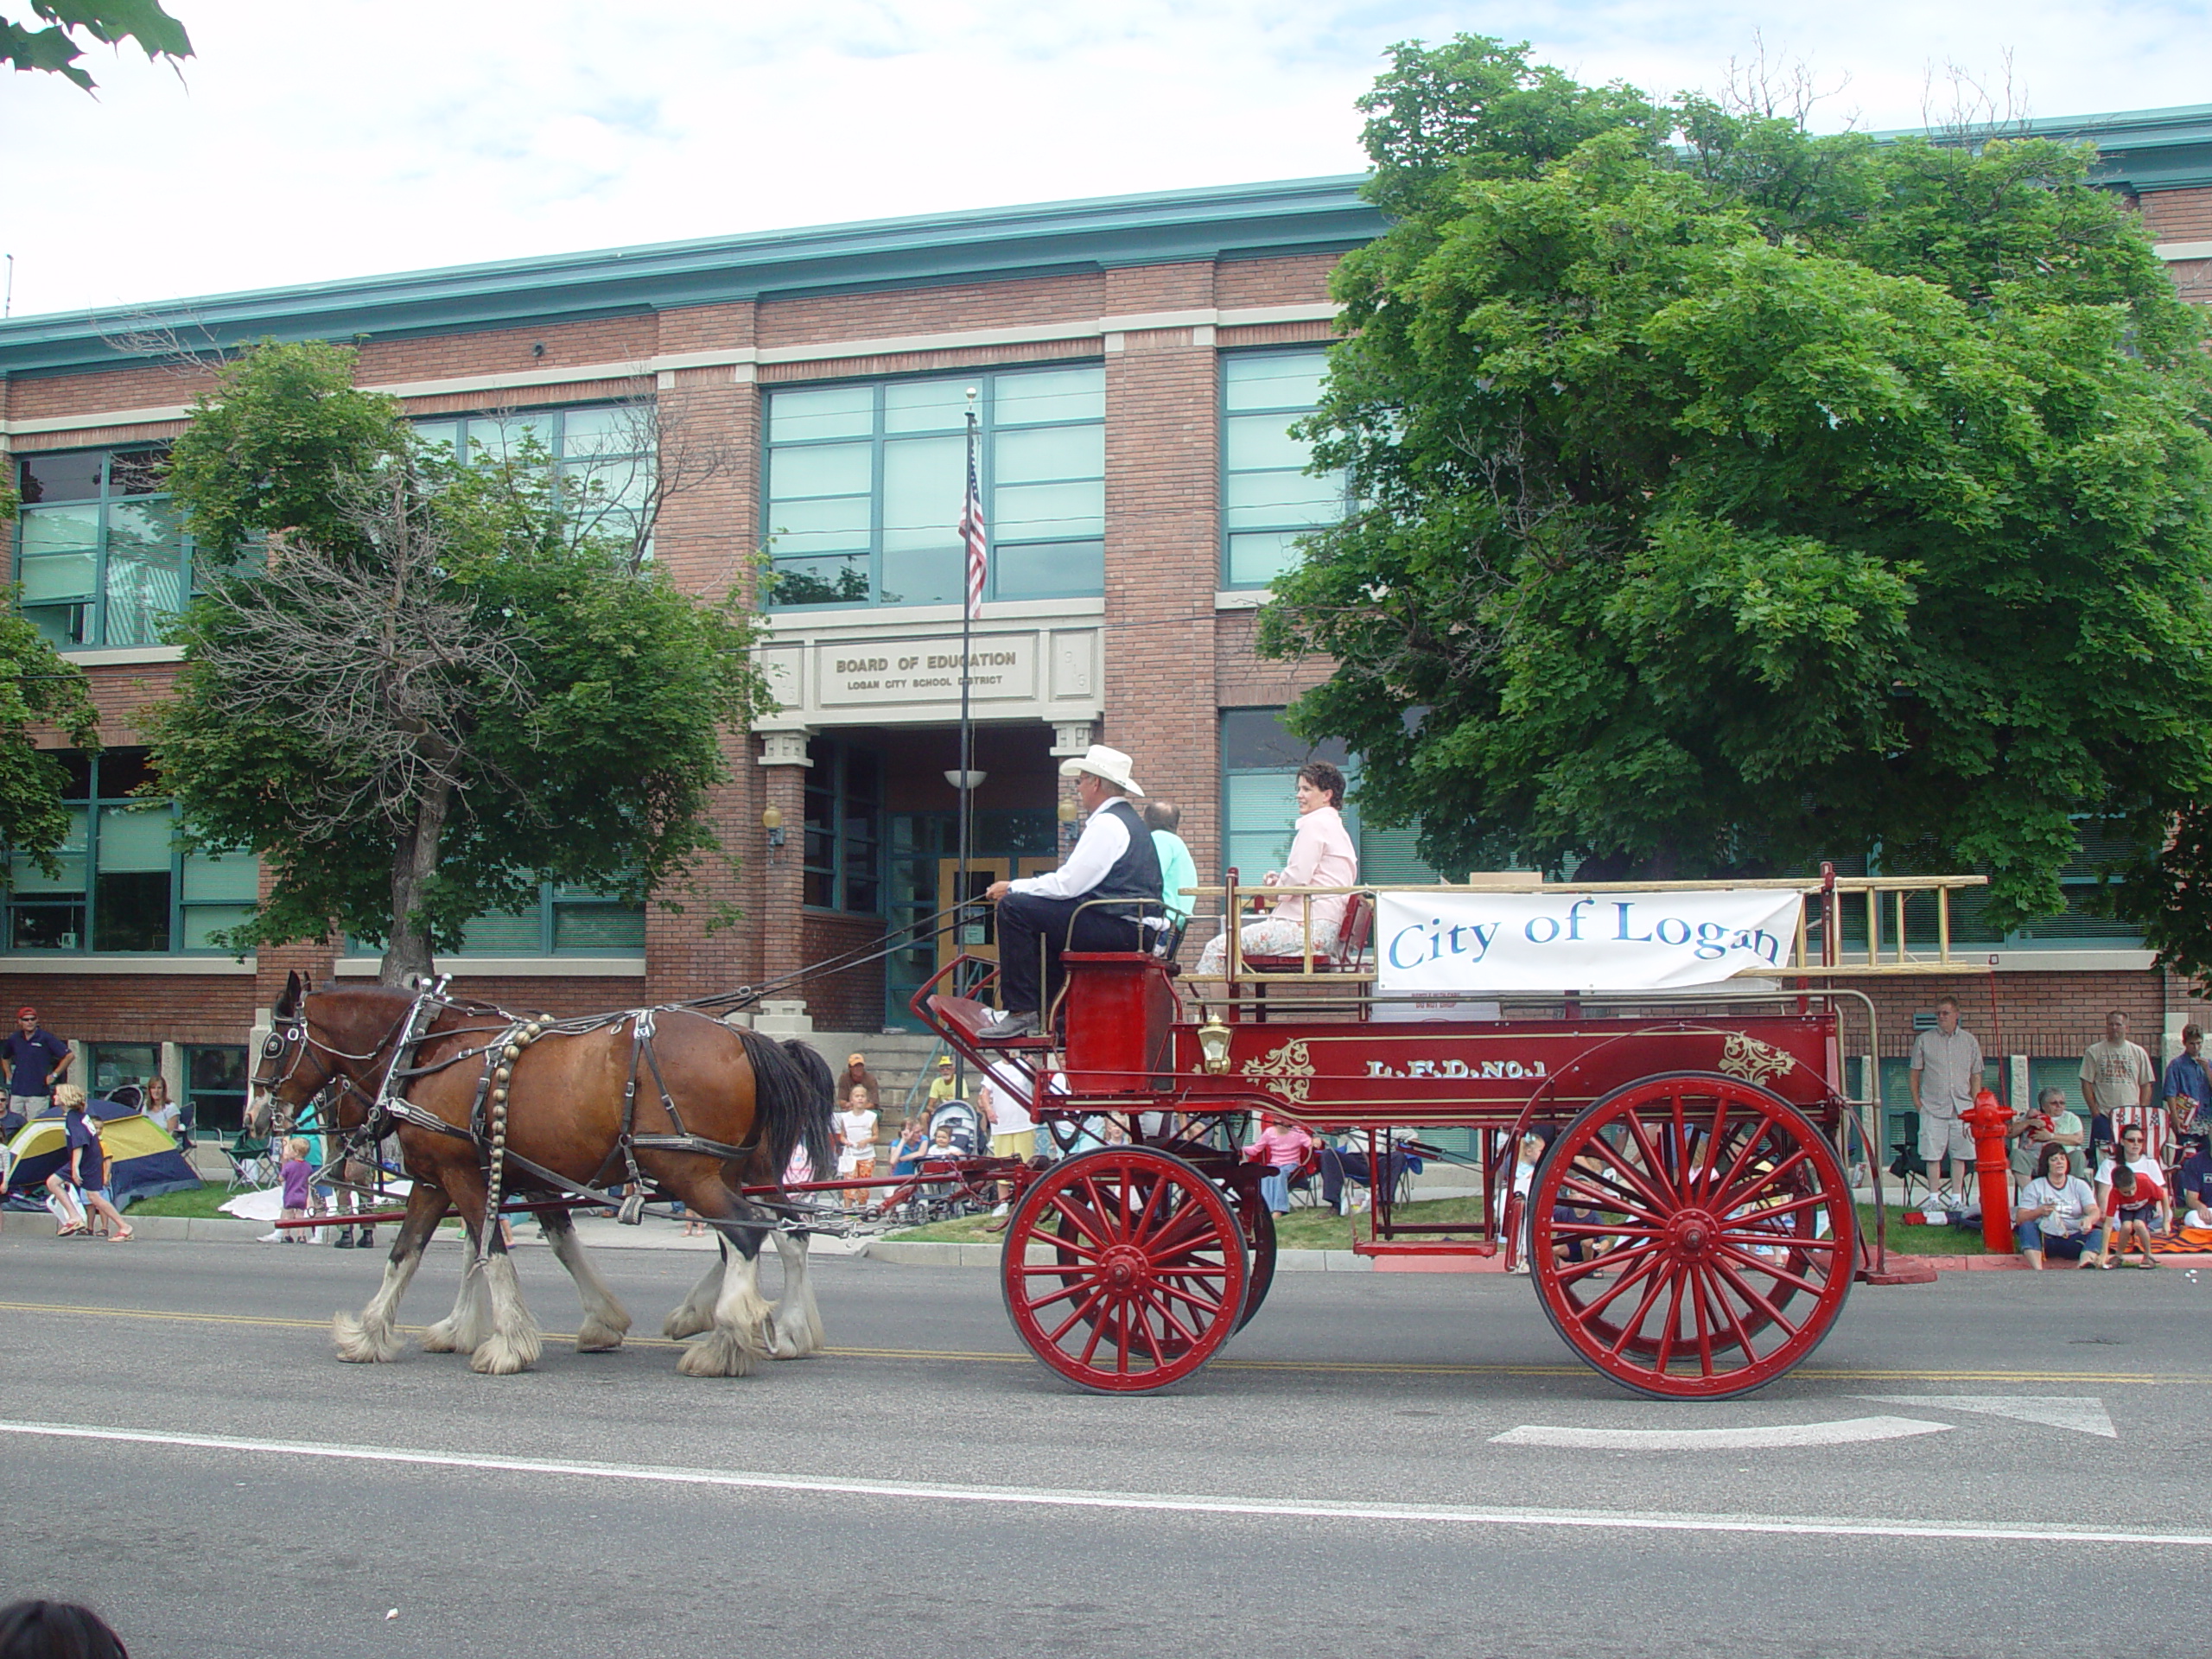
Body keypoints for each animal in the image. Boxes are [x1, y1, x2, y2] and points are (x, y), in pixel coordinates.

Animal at [253, 973, 836, 1380]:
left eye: (273, 1046)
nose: (257, 1118)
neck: (423, 1053)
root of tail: (744, 1039)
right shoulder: (472, 1177)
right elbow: (426, 1253)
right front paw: (379, 1334)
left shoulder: (458, 1172)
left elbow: (488, 1250)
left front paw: (507, 1345)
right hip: (733, 1168)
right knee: (783, 1231)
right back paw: (779, 1329)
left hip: (685, 1169)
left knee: (745, 1231)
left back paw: (724, 1343)